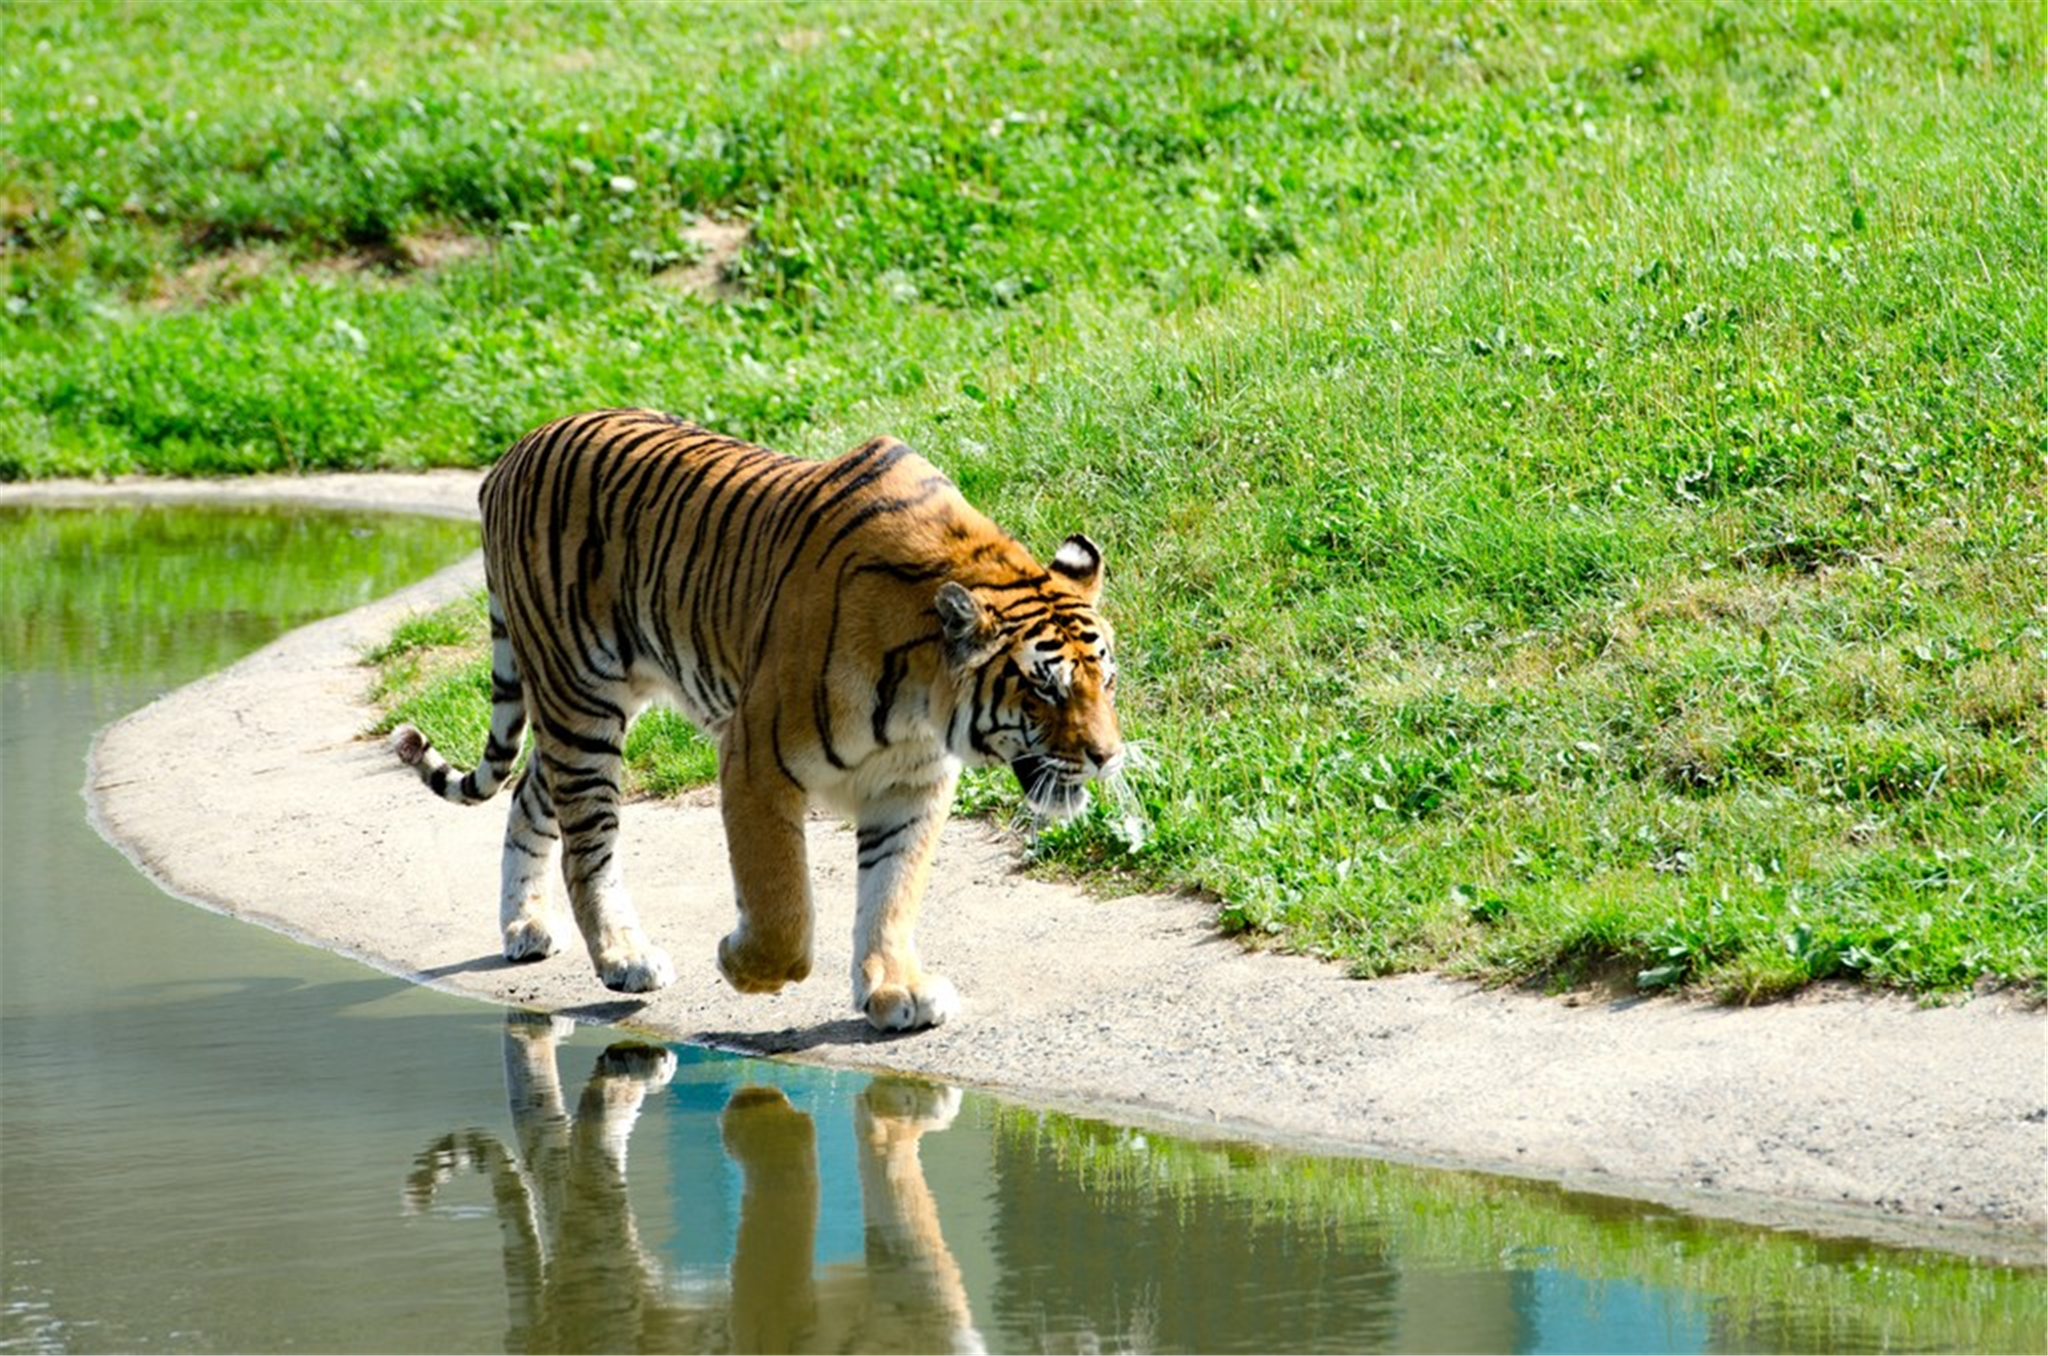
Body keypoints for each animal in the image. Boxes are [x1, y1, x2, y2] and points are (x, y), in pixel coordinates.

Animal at [395, 409, 1122, 1036]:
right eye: (1044, 687)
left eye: (1106, 681)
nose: (1108, 757)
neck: (922, 697)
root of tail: (513, 453)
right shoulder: (755, 759)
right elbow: (783, 904)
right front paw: (745, 966)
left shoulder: (911, 784)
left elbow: (891, 892)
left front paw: (895, 991)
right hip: (580, 702)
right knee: (586, 848)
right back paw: (625, 959)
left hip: (577, 710)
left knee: (527, 795)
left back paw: (525, 929)